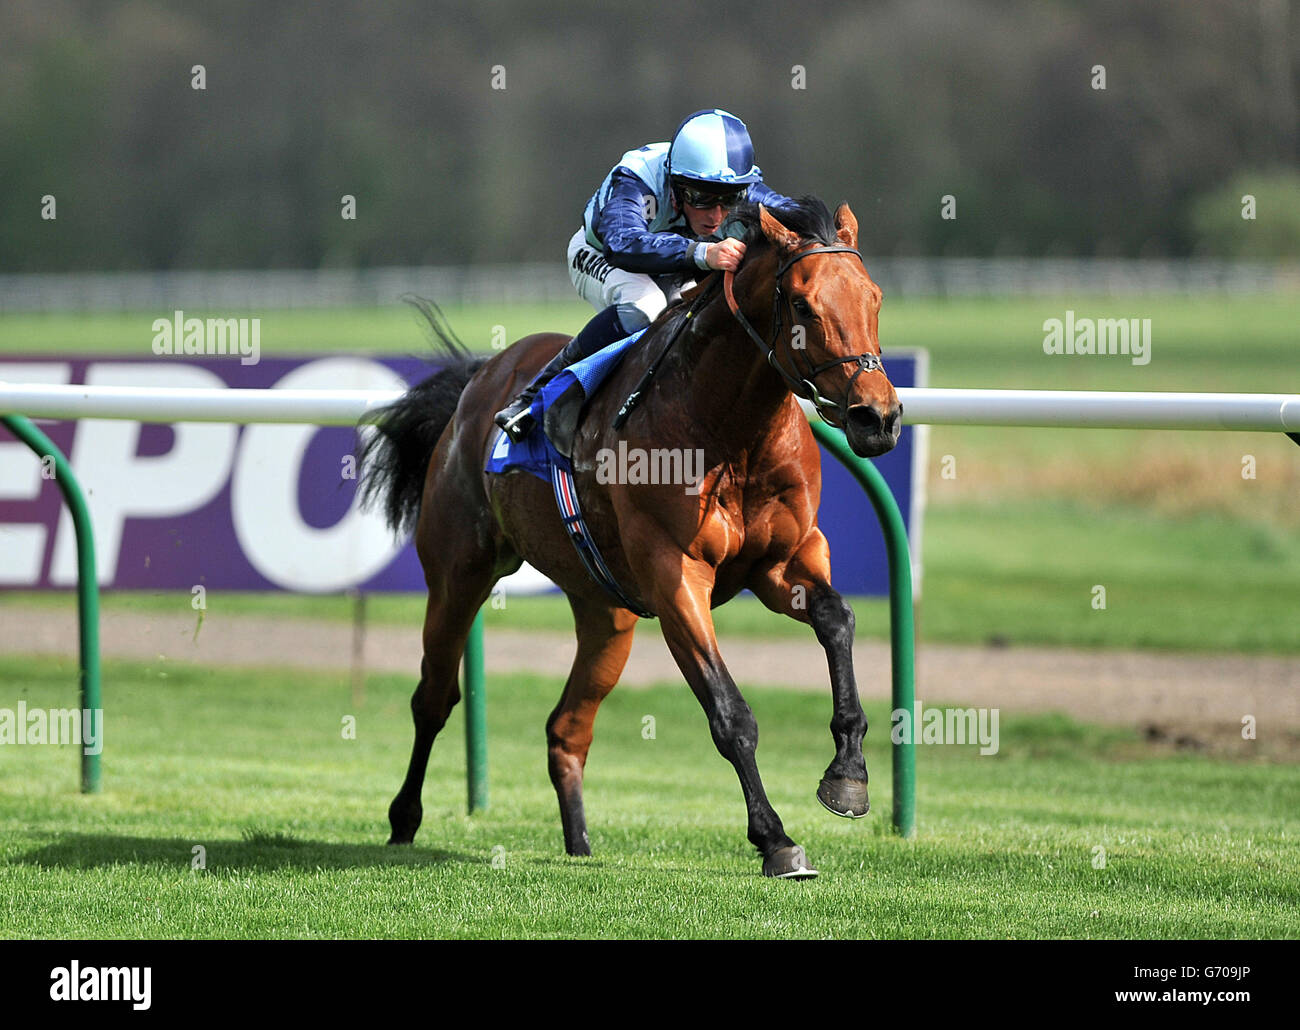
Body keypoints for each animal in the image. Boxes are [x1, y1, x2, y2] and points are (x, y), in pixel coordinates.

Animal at [361, 195, 899, 879]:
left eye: (874, 297)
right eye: (803, 305)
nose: (877, 416)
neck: (730, 430)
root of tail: (478, 382)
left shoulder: (785, 561)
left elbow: (838, 619)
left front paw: (848, 775)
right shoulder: (676, 576)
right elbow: (731, 714)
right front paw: (775, 838)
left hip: (604, 611)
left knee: (566, 729)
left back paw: (580, 846)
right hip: (458, 572)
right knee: (433, 698)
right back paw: (403, 821)